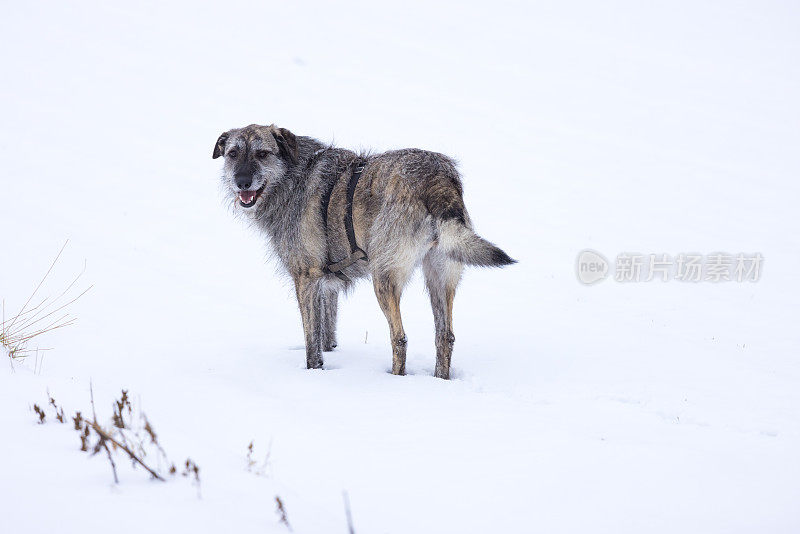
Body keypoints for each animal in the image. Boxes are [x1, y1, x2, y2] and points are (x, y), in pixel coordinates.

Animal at [214, 123, 512, 378]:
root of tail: (437, 179)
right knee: (444, 337)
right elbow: (327, 333)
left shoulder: (306, 279)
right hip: (441, 276)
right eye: (233, 153)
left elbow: (311, 340)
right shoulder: (327, 285)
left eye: (263, 154)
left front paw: (314, 373)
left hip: (384, 278)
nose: (242, 181)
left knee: (399, 339)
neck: (292, 175)